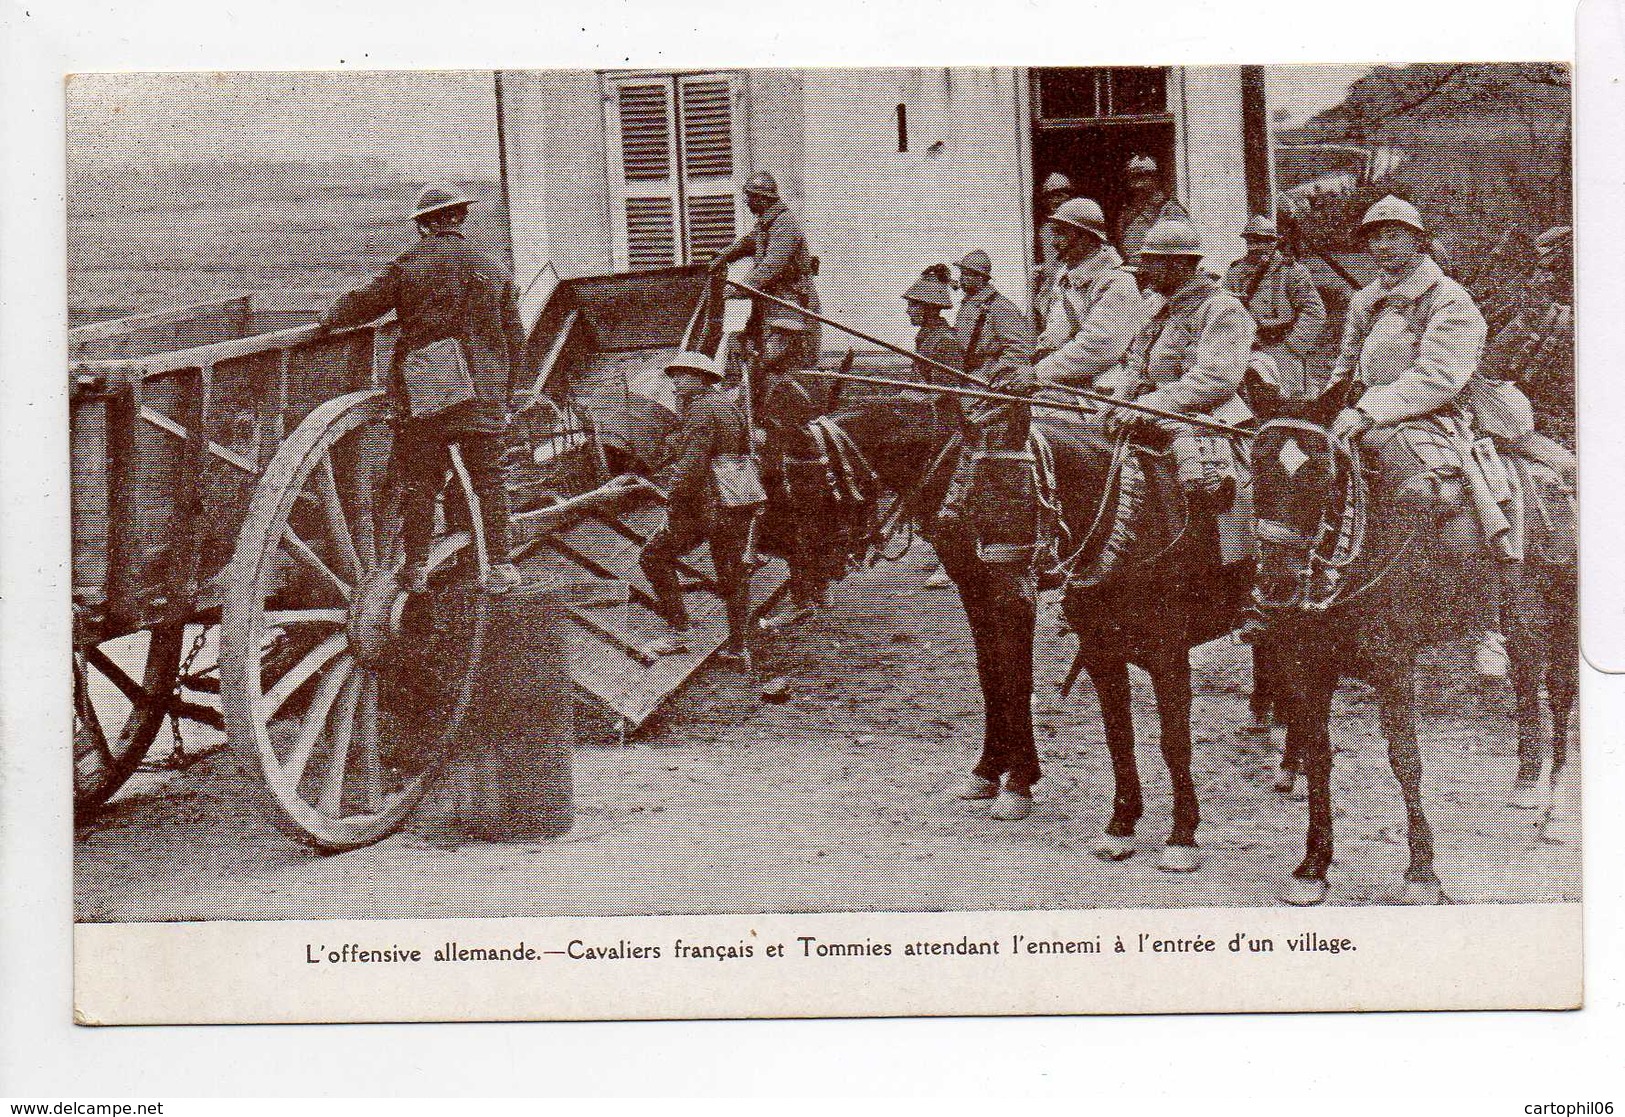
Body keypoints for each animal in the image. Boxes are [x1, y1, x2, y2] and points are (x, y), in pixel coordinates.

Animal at [760, 383, 1254, 871]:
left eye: (818, 490)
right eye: (783, 487)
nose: (801, 581)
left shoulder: (1032, 601)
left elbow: (1024, 681)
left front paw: (1018, 783)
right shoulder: (985, 590)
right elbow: (1000, 680)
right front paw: (993, 773)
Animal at [1241, 383, 1573, 910]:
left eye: (1323, 472)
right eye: (1256, 465)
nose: (1276, 586)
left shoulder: (1393, 667)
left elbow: (1405, 760)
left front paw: (1421, 872)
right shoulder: (1308, 667)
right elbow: (1317, 757)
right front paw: (1313, 866)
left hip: (1563, 622)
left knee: (1560, 698)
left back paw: (1554, 811)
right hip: (1521, 622)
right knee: (1524, 678)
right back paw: (1525, 782)